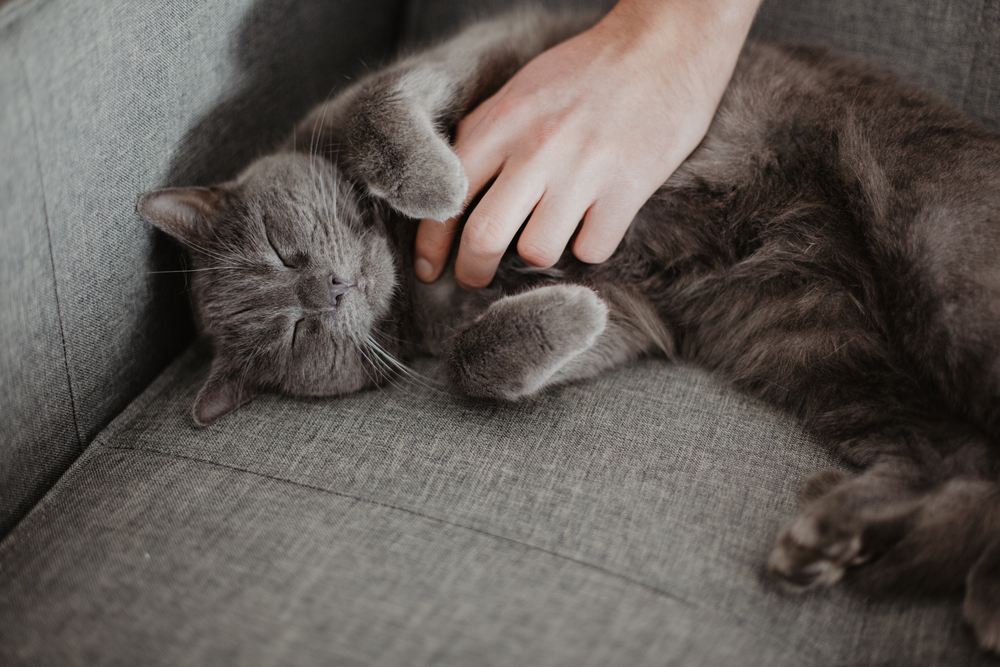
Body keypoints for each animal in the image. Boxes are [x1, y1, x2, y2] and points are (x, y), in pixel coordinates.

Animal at [139, 7, 1000, 656]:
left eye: (282, 250)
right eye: (295, 336)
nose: (329, 287)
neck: (407, 271)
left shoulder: (494, 54)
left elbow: (371, 111)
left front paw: (441, 185)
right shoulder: (626, 308)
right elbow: (475, 359)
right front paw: (564, 318)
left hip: (943, 260)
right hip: (809, 337)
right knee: (949, 456)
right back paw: (831, 538)